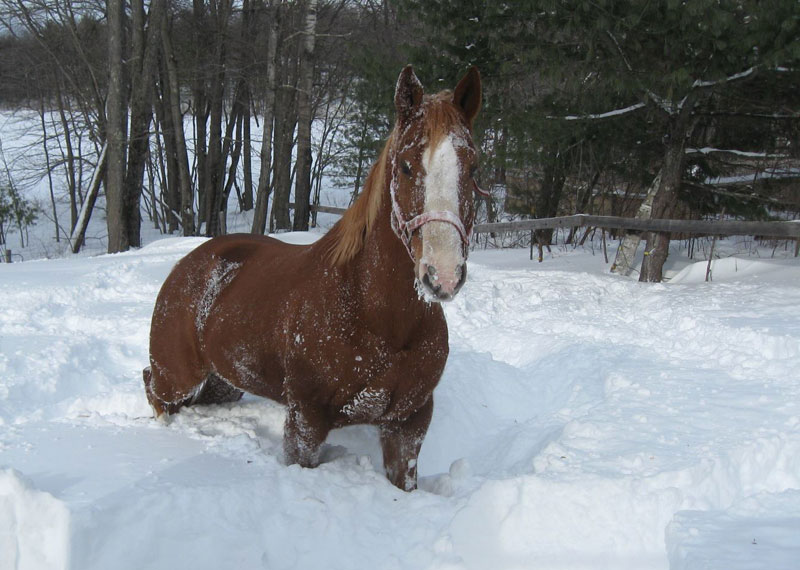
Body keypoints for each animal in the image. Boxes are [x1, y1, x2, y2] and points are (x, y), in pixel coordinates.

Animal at [143, 64, 482, 486]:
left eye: (473, 167)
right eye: (405, 165)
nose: (443, 275)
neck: (378, 319)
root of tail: (188, 264)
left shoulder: (409, 422)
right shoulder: (306, 421)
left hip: (224, 382)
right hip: (177, 376)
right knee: (154, 389)